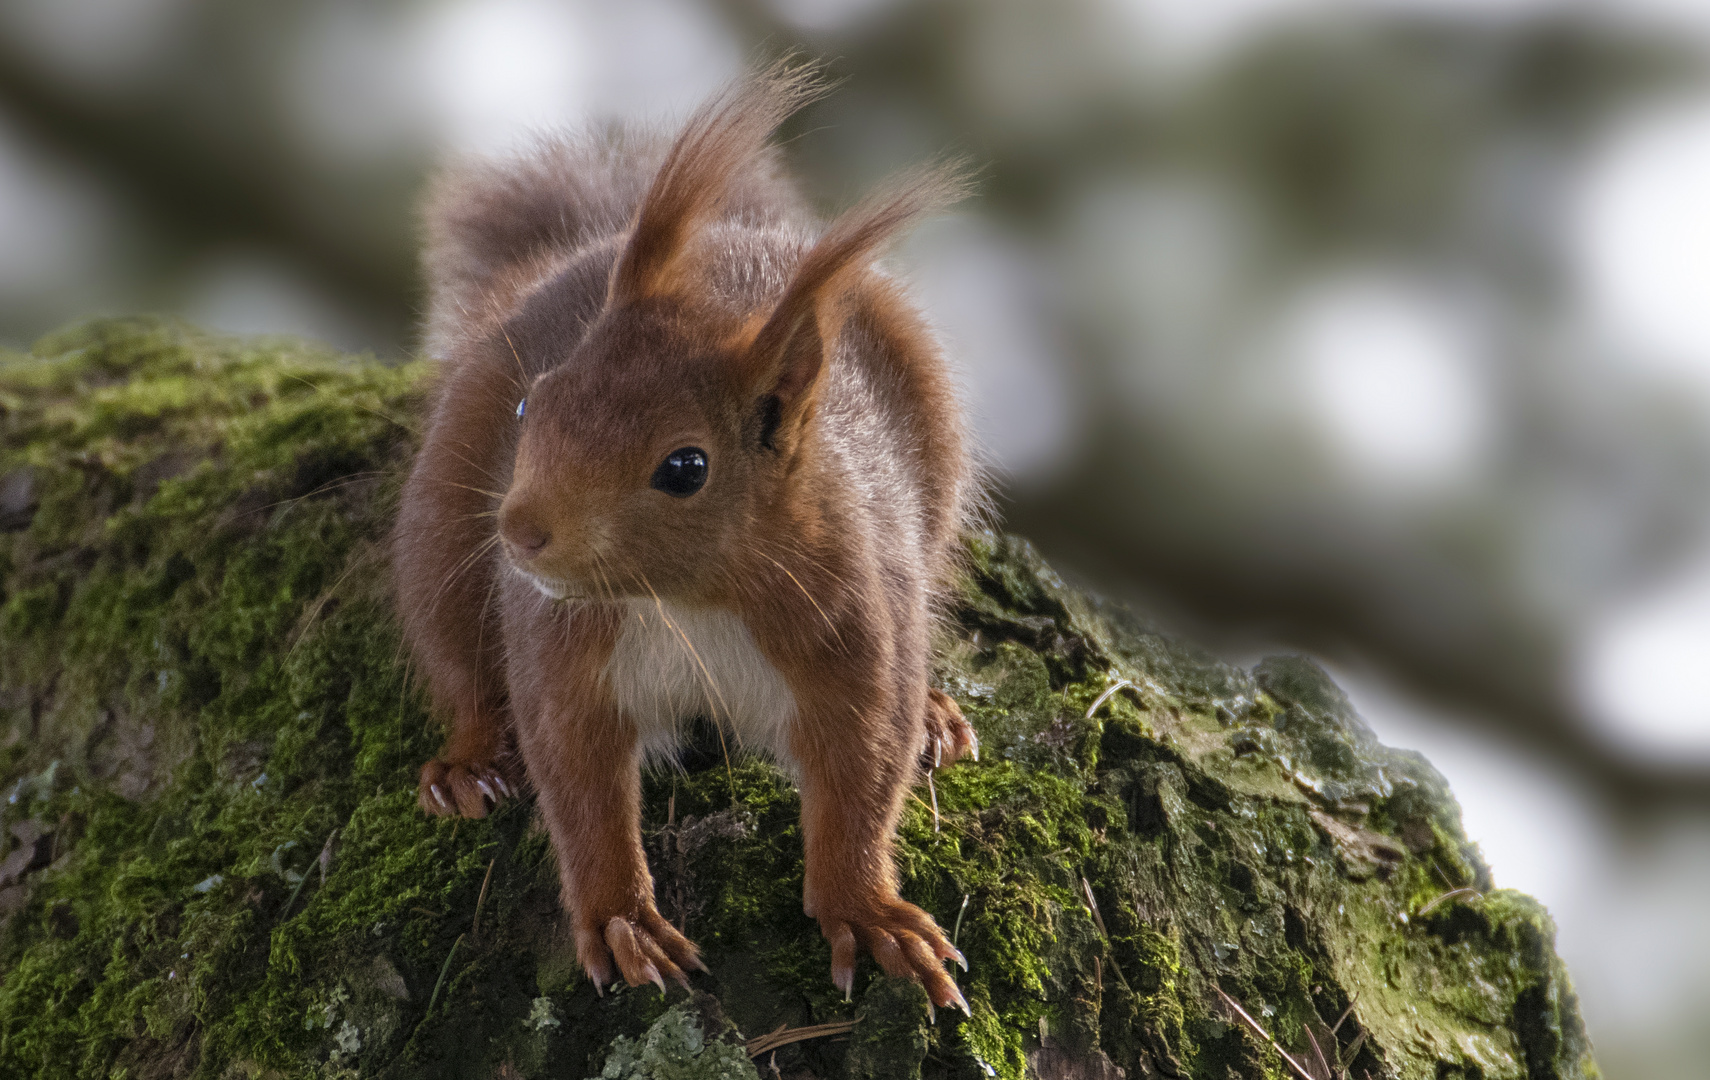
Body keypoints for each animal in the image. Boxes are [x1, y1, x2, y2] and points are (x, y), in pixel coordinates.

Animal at [389, 65, 978, 1011]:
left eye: (685, 467)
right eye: (532, 404)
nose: (520, 534)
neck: (685, 601)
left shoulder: (857, 631)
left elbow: (862, 771)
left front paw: (869, 911)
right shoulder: (567, 653)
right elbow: (578, 776)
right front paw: (620, 918)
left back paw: (936, 713)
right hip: (439, 529)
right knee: (461, 666)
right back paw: (469, 763)